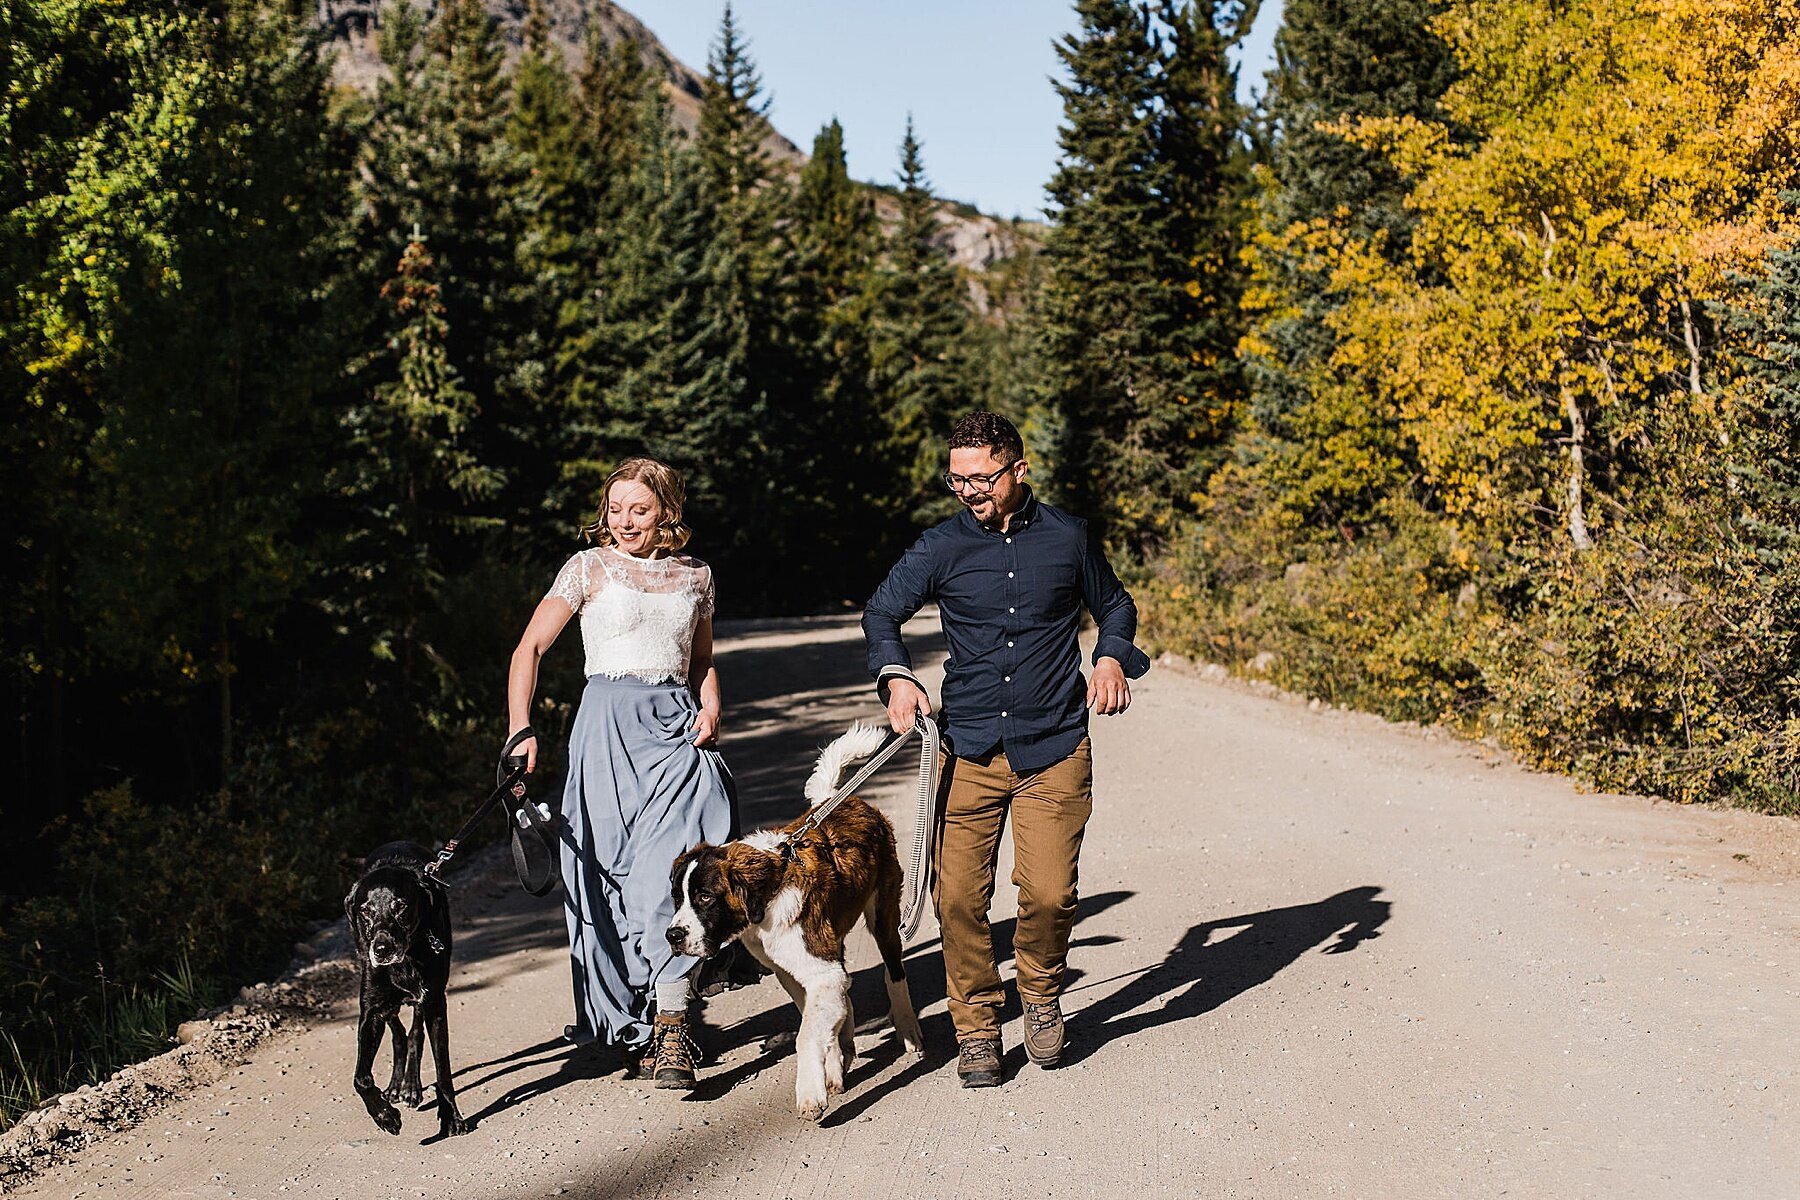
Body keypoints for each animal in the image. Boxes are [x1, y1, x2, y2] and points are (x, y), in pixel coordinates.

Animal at [345, 841, 471, 1144]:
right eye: (365, 910)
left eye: (400, 906)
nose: (381, 950)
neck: (405, 960)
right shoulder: (371, 1012)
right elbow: (361, 1078)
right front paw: (384, 1115)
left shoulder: (434, 1002)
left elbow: (443, 1071)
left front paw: (451, 1118)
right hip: (389, 1006)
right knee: (399, 1033)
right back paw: (395, 1086)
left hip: (421, 1000)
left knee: (414, 1034)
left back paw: (411, 1086)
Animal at [673, 723, 928, 1129]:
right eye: (678, 898)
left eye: (705, 898)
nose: (673, 936)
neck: (766, 894)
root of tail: (839, 800)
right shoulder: (790, 970)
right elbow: (818, 1016)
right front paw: (833, 1066)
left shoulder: (820, 970)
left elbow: (807, 1033)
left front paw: (810, 1093)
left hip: (884, 915)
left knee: (894, 974)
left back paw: (907, 1029)